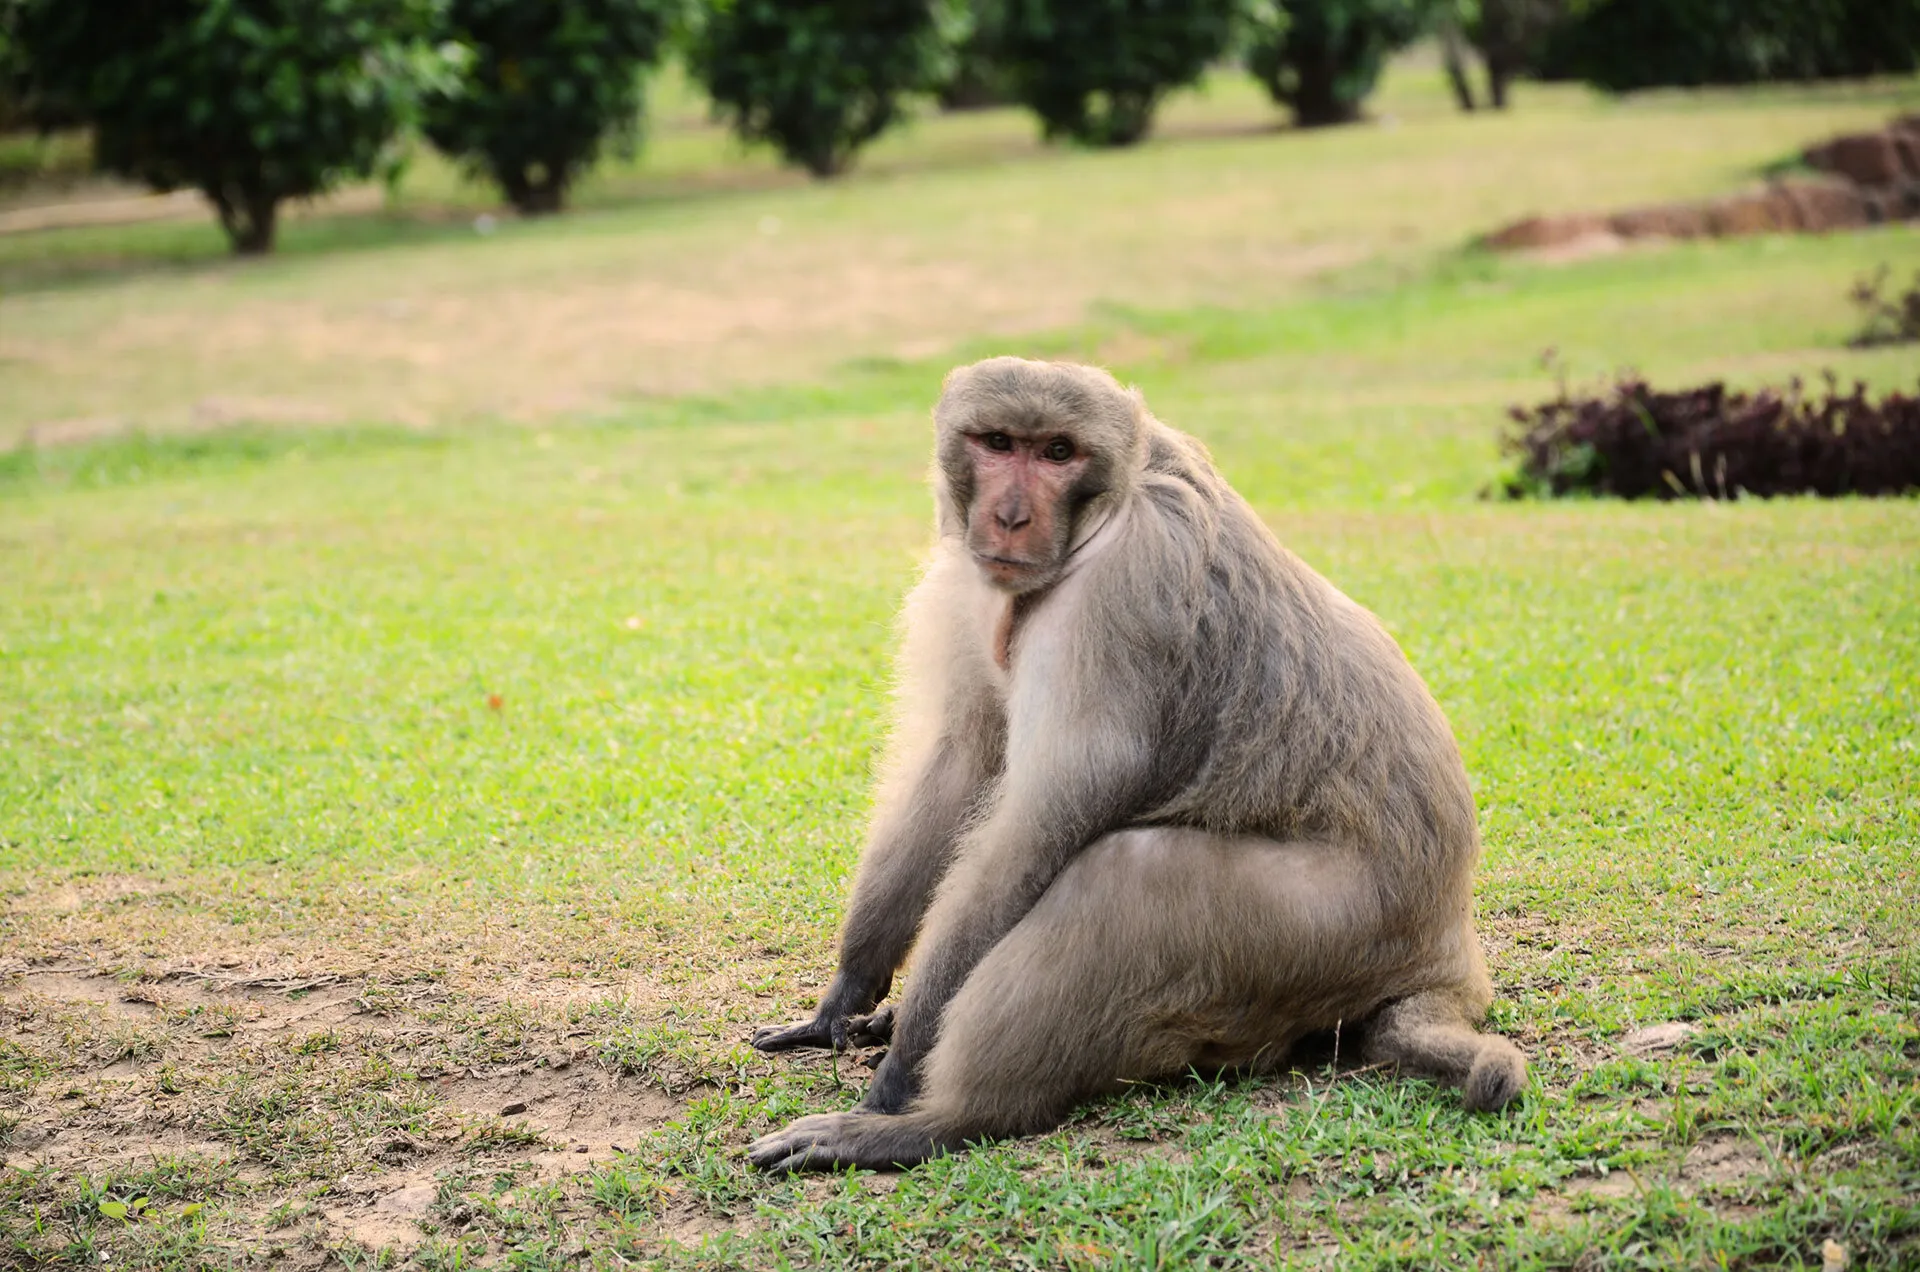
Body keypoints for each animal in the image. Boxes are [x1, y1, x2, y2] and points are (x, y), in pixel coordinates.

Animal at [747, 357, 1525, 1172]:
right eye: (998, 443)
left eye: (1058, 453)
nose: (1011, 517)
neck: (1103, 515)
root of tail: (1447, 945)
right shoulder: (971, 580)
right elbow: (962, 759)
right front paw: (846, 997)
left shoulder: (1122, 594)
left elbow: (1035, 825)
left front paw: (899, 1078)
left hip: (1337, 928)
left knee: (1128, 878)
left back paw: (947, 1121)